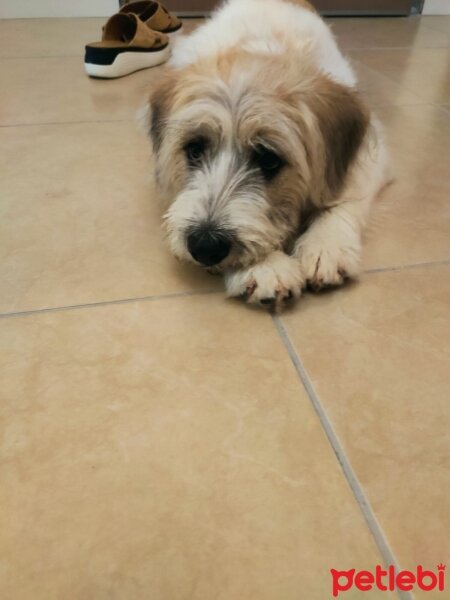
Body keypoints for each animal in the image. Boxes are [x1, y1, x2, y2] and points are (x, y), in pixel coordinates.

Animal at [147, 0, 390, 310]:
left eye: (269, 160)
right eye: (194, 150)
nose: (205, 245)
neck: (265, 47)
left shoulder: (374, 153)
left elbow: (347, 195)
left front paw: (326, 244)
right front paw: (264, 266)